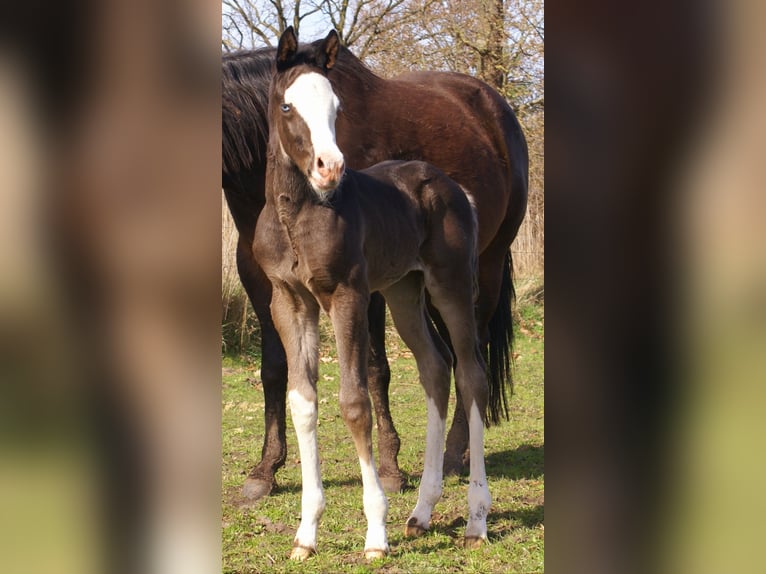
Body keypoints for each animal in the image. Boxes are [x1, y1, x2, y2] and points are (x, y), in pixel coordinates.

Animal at [222, 27, 528, 501]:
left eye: (338, 106)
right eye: (286, 106)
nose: (331, 168)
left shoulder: (363, 285)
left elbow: (373, 368)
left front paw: (388, 467)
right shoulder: (263, 280)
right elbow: (275, 367)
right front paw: (265, 470)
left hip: (481, 269)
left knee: (470, 356)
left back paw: (454, 455)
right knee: (447, 358)